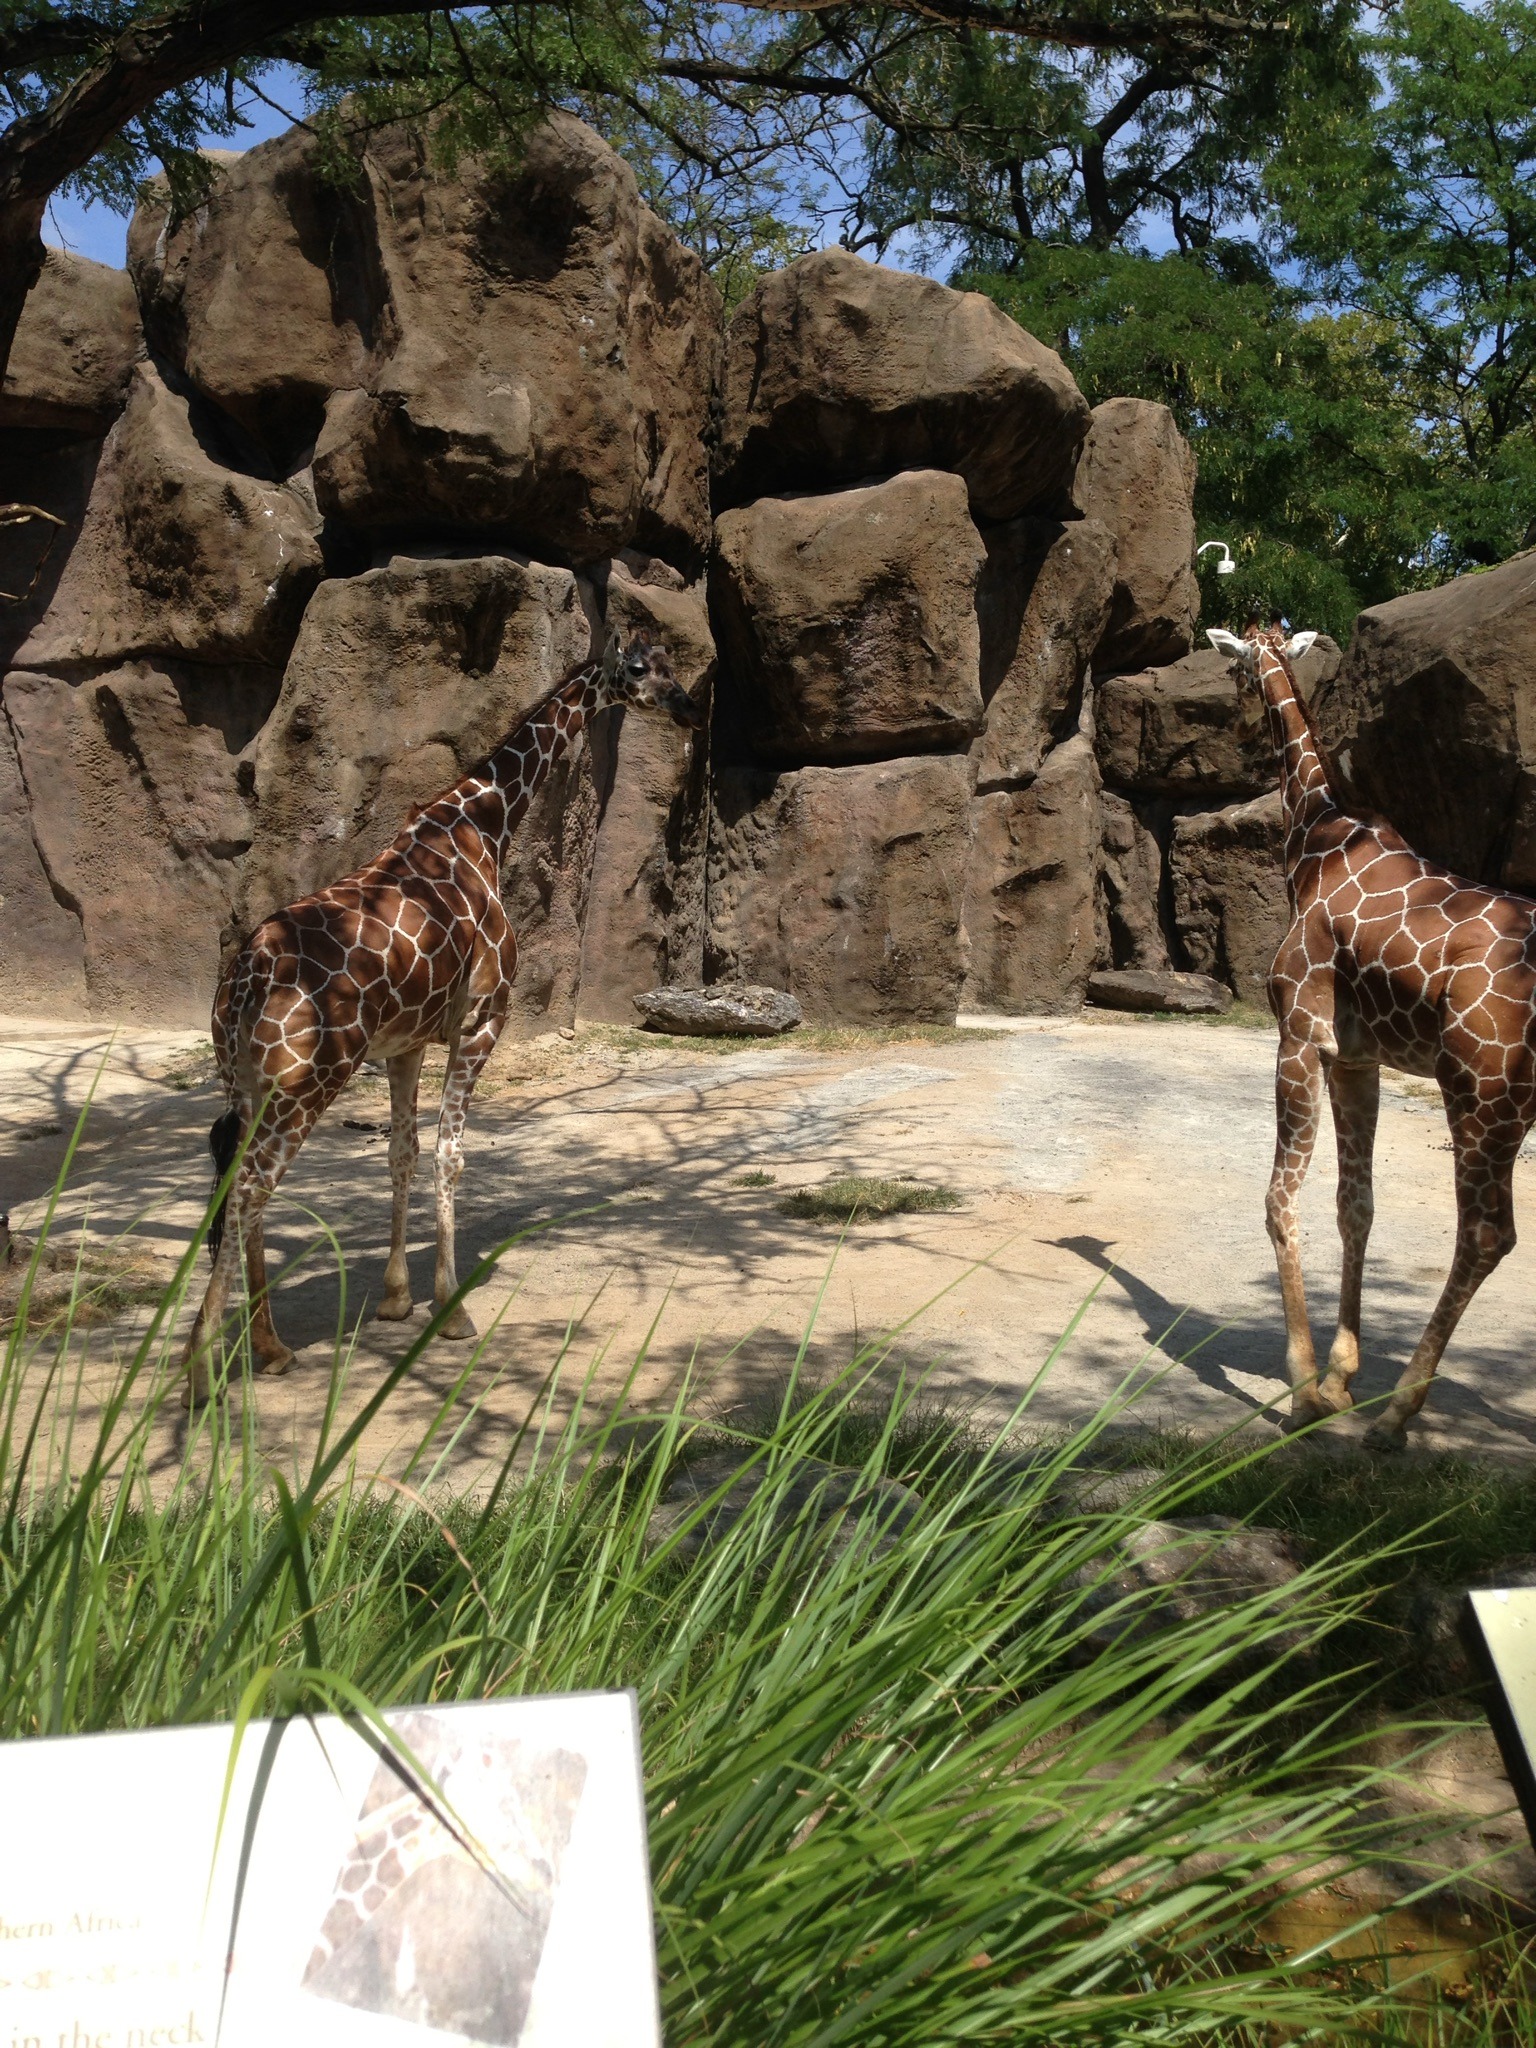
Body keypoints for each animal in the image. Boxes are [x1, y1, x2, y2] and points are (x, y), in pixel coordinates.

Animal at [181, 629, 701, 1404]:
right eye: (639, 669)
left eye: (670, 664)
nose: (688, 707)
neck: (484, 824)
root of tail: (246, 979)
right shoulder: (482, 1020)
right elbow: (453, 1154)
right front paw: (451, 1308)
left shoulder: (405, 1043)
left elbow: (402, 1151)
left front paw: (397, 1299)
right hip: (308, 1078)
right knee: (249, 1186)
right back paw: (201, 1369)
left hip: (243, 1077)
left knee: (237, 1185)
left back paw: (268, 1348)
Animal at [1206, 619, 1536, 1450]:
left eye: (1232, 669)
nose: (1230, 726)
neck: (1314, 835)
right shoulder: (1359, 1057)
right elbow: (1355, 1206)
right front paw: (1339, 1378)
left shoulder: (1297, 1033)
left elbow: (1278, 1200)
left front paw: (1301, 1393)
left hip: (1483, 1089)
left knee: (1487, 1235)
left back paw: (1396, 1417)